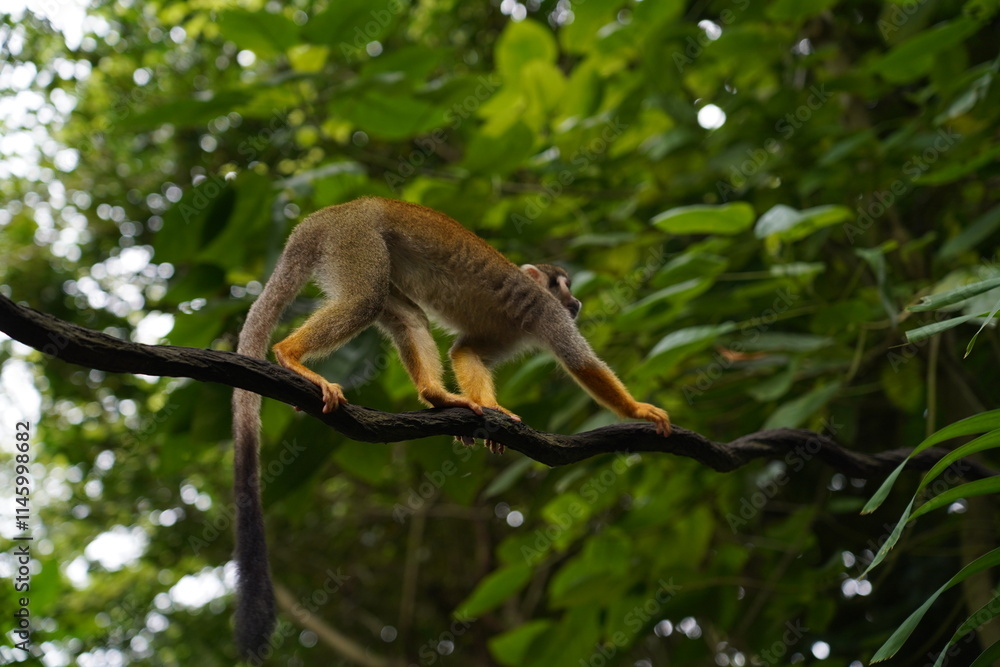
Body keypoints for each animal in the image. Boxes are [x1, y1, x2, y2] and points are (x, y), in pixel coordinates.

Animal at [231, 196, 670, 658]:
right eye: (563, 286)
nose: (578, 302)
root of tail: (332, 212)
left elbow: (466, 351)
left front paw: (490, 411)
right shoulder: (547, 312)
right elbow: (580, 363)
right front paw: (638, 409)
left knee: (409, 317)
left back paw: (437, 395)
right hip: (354, 240)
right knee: (367, 298)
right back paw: (289, 354)